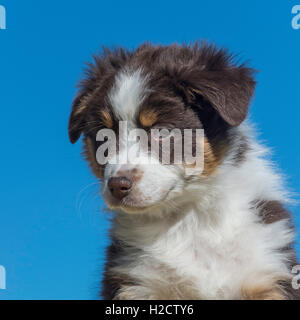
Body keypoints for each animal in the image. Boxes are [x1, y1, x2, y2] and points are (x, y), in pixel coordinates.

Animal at [68, 42, 300, 300]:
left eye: (161, 131)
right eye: (104, 136)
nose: (117, 186)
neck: (189, 218)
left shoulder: (270, 273)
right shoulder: (136, 284)